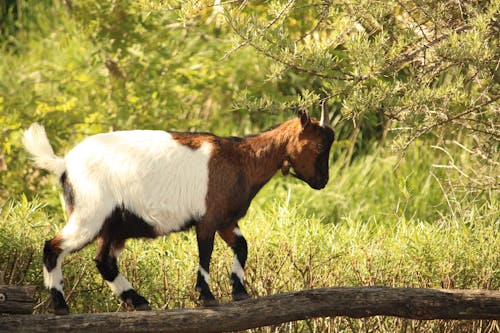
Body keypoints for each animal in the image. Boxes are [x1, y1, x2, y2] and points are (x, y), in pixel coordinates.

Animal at [24, 107, 336, 314]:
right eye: (320, 147)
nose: (322, 182)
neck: (241, 159)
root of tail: (64, 164)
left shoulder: (226, 219)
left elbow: (242, 246)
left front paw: (239, 291)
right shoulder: (209, 218)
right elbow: (206, 253)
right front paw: (207, 296)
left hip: (114, 225)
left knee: (104, 262)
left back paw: (139, 301)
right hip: (90, 214)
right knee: (52, 247)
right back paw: (61, 306)